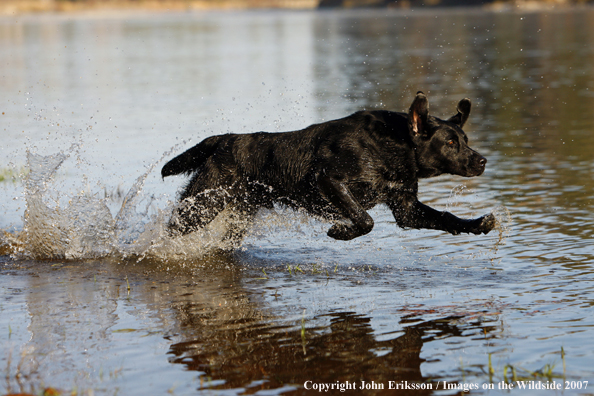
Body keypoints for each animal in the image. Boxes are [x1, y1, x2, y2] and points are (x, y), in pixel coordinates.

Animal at [162, 92, 494, 241]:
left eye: (465, 139)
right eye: (449, 143)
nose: (482, 160)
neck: (392, 145)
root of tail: (223, 140)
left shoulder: (406, 209)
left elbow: (446, 218)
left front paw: (477, 224)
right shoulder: (328, 181)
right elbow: (364, 220)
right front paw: (342, 231)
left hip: (237, 213)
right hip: (201, 207)